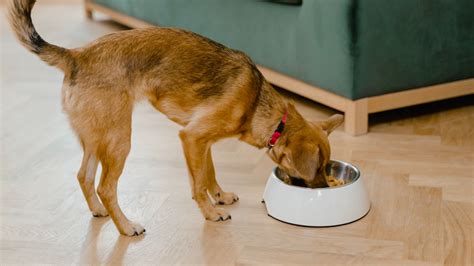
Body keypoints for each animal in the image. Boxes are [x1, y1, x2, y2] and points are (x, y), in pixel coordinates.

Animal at [9, 0, 342, 237]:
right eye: (318, 168)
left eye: (327, 167)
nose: (325, 188)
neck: (259, 105)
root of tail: (76, 55)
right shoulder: (192, 137)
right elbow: (198, 184)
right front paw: (211, 213)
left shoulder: (201, 141)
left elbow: (208, 173)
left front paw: (219, 196)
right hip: (119, 140)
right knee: (106, 187)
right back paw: (126, 227)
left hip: (96, 138)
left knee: (84, 176)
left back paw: (99, 211)